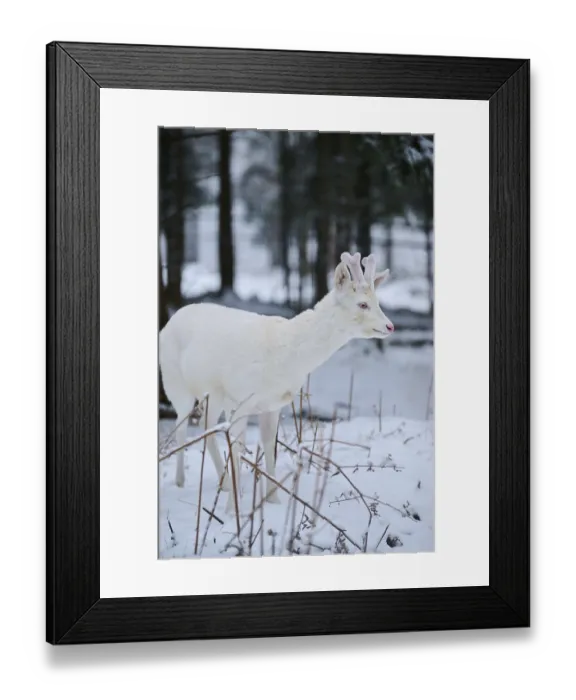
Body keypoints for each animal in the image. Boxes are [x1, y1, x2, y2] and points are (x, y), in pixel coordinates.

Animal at [159, 251, 395, 513]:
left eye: (378, 302)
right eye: (362, 304)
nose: (390, 326)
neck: (287, 355)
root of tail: (170, 320)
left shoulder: (272, 404)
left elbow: (270, 445)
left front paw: (273, 500)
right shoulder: (240, 398)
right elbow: (237, 448)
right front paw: (233, 510)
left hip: (213, 395)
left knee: (204, 426)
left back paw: (224, 483)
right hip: (175, 382)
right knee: (181, 424)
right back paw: (182, 481)